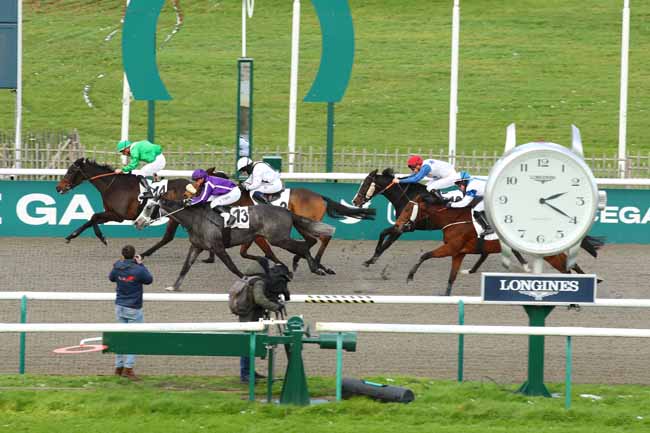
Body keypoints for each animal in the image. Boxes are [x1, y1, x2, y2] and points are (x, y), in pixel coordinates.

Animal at [147, 197, 334, 288]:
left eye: (149, 207)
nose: (140, 222)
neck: (196, 218)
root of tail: (287, 211)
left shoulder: (218, 247)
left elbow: (232, 267)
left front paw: (246, 279)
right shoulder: (197, 246)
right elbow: (185, 267)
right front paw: (174, 287)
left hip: (278, 239)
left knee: (302, 246)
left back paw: (314, 268)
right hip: (278, 239)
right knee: (304, 245)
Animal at [390, 197, 604, 296]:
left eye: (408, 209)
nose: (398, 225)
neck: (453, 220)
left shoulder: (451, 248)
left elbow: (425, 255)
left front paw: (410, 277)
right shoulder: (458, 253)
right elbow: (451, 277)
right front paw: (447, 295)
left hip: (550, 254)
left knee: (567, 270)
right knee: (570, 265)